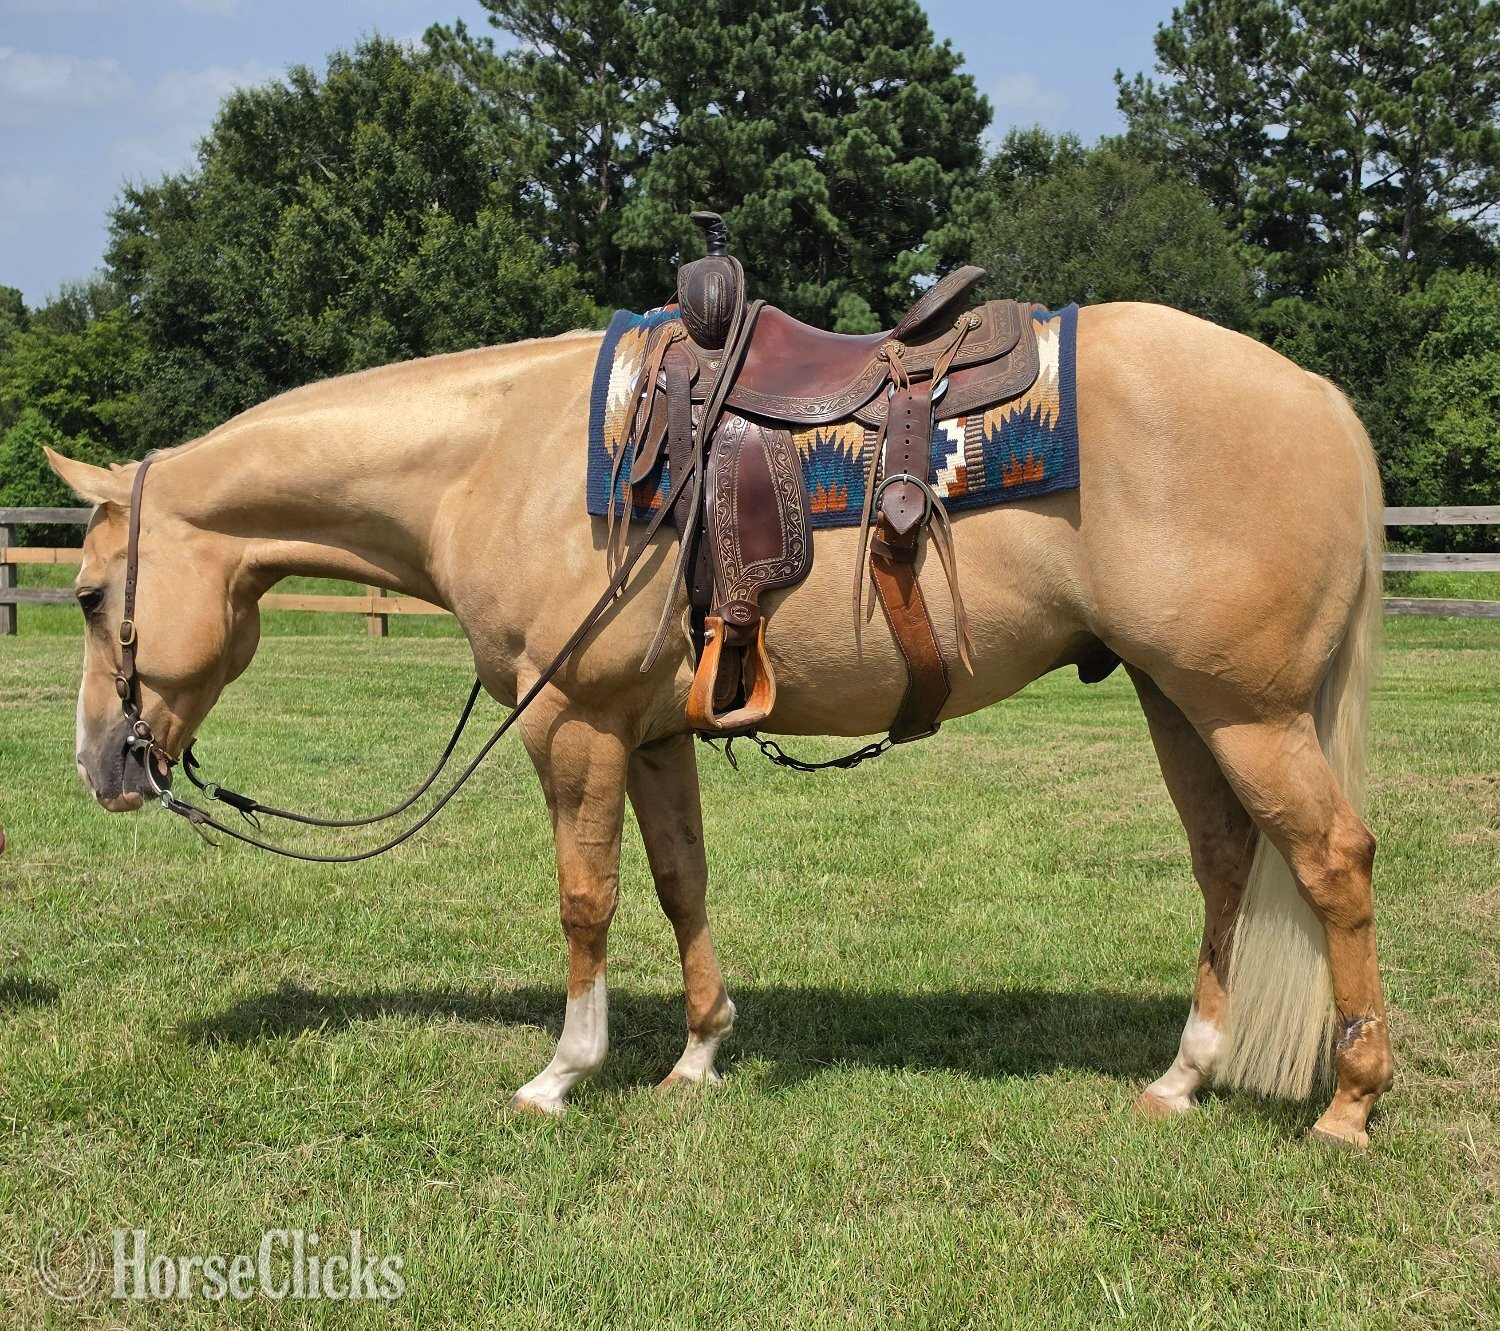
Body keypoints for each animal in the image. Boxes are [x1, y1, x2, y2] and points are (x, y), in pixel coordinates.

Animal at [46, 300, 1393, 1146]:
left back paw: (1350, 1101)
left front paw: (563, 1072)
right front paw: (697, 1052)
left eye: (89, 594)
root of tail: (1322, 397)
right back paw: (1183, 1074)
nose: (101, 763)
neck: (501, 458)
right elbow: (679, 880)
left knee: (1332, 863)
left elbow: (585, 897)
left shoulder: (573, 725)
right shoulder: (648, 733)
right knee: (1226, 862)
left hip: (1248, 710)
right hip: (1182, 700)